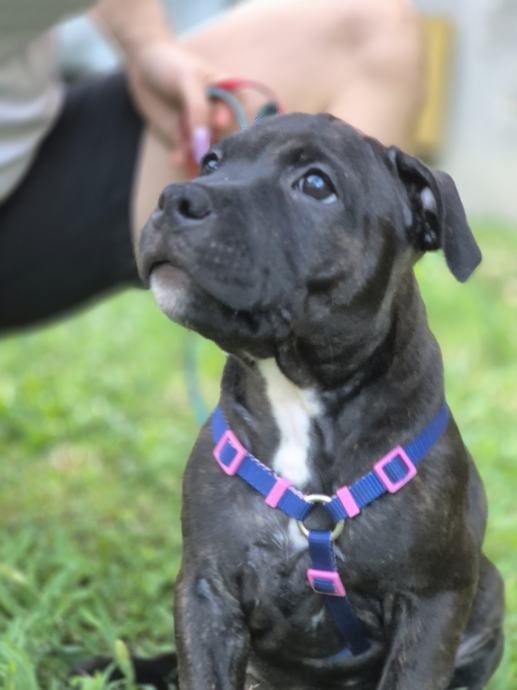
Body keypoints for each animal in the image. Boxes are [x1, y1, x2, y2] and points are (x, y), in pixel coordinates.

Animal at [138, 114, 504, 688]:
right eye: (210, 163)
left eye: (315, 185)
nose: (176, 196)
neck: (297, 390)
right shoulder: (206, 590)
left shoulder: (432, 601)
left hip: (488, 593)